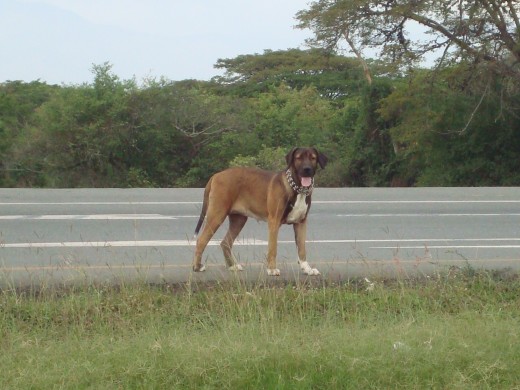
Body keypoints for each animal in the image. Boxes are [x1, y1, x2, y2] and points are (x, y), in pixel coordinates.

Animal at [191, 147, 330, 278]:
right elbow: (273, 248)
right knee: (201, 240)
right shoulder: (274, 222)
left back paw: (232, 266)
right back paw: (197, 266)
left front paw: (307, 269)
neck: (297, 189)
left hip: (238, 220)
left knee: (225, 243)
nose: (307, 169)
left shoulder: (301, 223)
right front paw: (272, 269)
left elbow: (302, 249)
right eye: (298, 158)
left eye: (313, 158)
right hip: (217, 215)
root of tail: (216, 175)